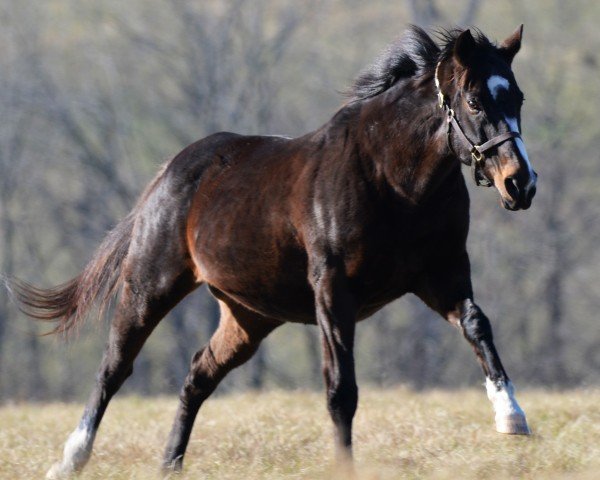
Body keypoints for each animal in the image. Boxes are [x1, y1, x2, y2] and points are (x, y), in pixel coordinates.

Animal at [10, 24, 536, 478]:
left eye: (517, 97)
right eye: (474, 100)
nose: (521, 183)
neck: (393, 181)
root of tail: (168, 172)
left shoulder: (441, 276)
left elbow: (477, 325)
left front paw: (512, 417)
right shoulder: (333, 291)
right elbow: (340, 389)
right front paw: (344, 467)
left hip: (248, 316)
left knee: (198, 374)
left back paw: (170, 465)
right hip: (149, 287)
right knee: (113, 368)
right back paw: (70, 460)